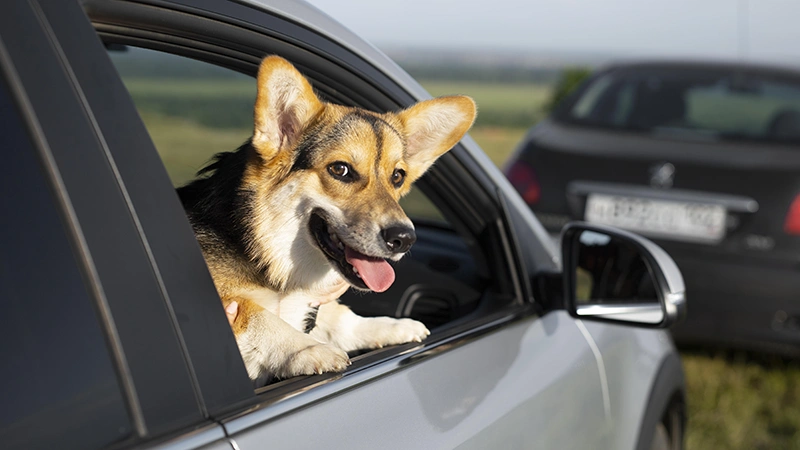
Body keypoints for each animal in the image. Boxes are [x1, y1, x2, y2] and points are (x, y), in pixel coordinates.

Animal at [177, 55, 476, 386]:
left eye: (398, 176)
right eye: (340, 170)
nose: (404, 239)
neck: (266, 250)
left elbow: (341, 318)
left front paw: (393, 326)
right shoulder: (222, 304)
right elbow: (257, 315)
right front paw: (306, 348)